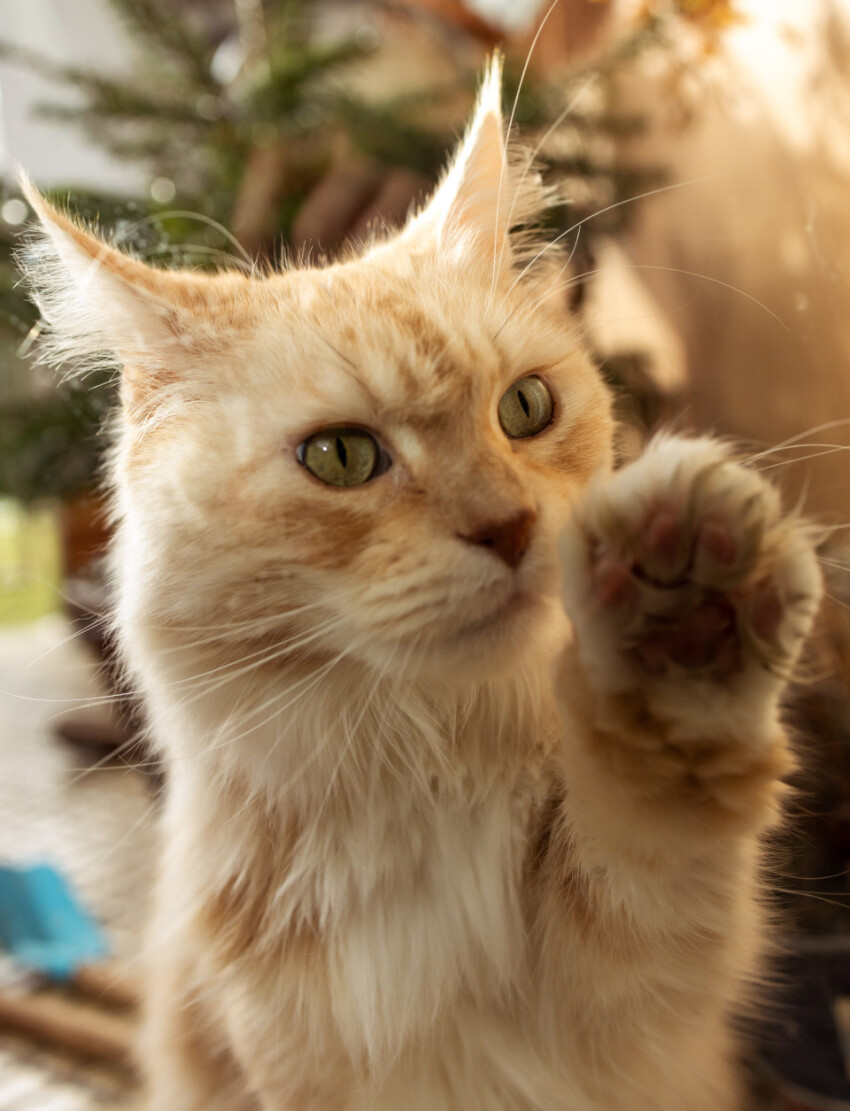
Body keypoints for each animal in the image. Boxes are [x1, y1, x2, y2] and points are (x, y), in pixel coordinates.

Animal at [19, 56, 822, 1111]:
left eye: (525, 408)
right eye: (342, 457)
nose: (510, 526)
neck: (438, 782)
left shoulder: (636, 1004)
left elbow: (653, 811)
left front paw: (684, 618)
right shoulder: (291, 1060)